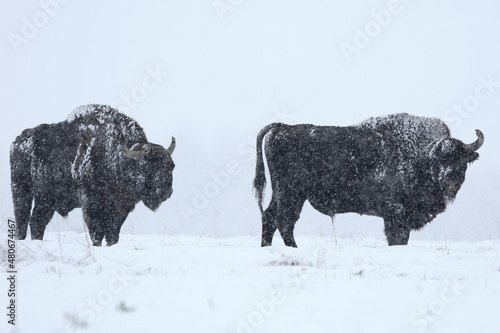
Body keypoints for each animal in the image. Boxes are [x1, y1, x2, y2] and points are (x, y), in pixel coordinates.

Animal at [9, 105, 176, 245]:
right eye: (145, 166)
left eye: (171, 166)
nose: (166, 191)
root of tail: (18, 141)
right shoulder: (90, 201)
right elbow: (97, 230)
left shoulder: (121, 208)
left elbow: (113, 232)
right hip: (21, 189)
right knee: (22, 218)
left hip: (46, 199)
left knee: (37, 222)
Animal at [254, 114, 484, 246]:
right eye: (438, 160)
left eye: (462, 160)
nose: (450, 180)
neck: (421, 158)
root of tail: (282, 127)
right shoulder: (396, 214)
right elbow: (398, 238)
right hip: (291, 193)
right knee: (284, 220)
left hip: (286, 194)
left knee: (271, 217)